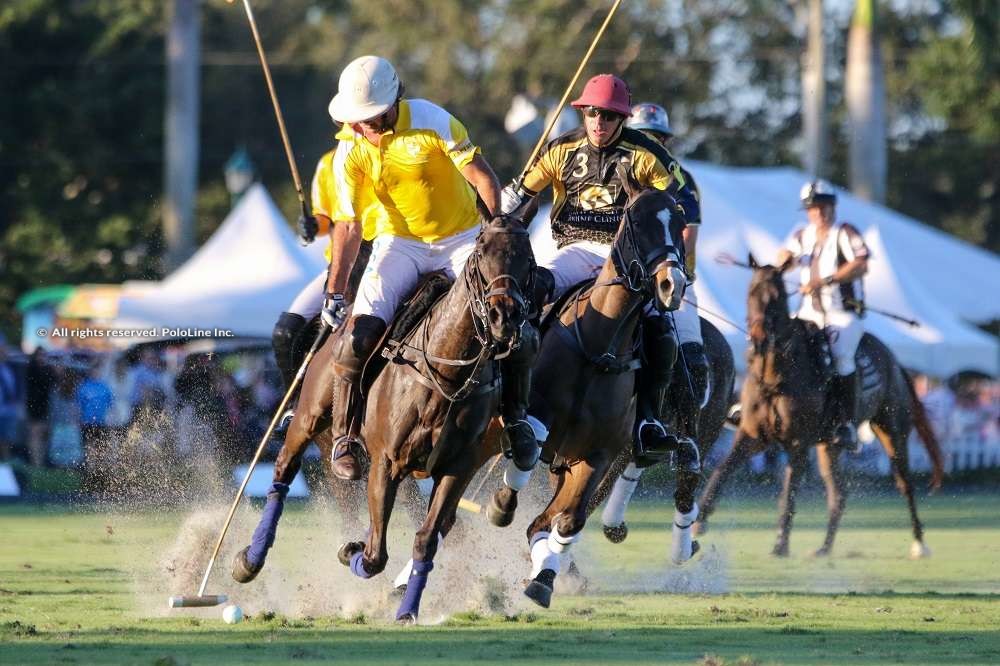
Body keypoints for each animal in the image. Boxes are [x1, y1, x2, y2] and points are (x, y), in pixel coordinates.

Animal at [484, 187, 688, 608]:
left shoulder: (598, 454)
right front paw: (501, 506)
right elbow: (525, 452)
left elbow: (567, 520)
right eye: (636, 221)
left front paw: (543, 579)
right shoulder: (535, 420)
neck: (598, 347)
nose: (671, 285)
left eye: (679, 222)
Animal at [696, 256, 944, 556]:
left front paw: (781, 544)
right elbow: (721, 471)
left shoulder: (797, 443)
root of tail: (894, 361)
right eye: (750, 293)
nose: (758, 340)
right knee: (839, 494)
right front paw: (699, 521)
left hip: (892, 430)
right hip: (829, 447)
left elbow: (788, 492)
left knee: (904, 483)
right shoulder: (752, 436)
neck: (776, 375)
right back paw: (824, 548)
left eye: (777, 296)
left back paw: (919, 543)